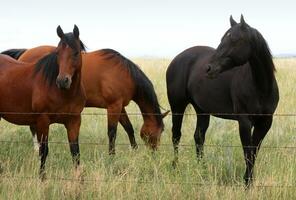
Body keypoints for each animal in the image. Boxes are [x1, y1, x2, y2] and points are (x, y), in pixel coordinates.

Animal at [0, 25, 85, 178]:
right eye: (57, 53)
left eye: (76, 53)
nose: (62, 81)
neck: (63, 94)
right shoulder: (43, 121)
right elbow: (43, 151)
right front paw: (42, 178)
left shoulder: (74, 121)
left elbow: (75, 152)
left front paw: (79, 179)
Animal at [1, 46, 169, 154]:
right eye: (159, 131)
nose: (154, 153)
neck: (124, 73)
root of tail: (25, 52)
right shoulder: (113, 106)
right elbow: (112, 132)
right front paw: (111, 155)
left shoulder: (120, 106)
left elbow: (129, 128)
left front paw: (134, 151)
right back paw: (37, 150)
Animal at [166, 14, 280, 185]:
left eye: (234, 40)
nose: (208, 69)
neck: (261, 87)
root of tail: (177, 58)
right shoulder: (244, 122)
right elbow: (247, 153)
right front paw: (247, 183)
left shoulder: (265, 122)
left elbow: (254, 152)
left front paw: (250, 181)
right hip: (177, 107)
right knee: (176, 135)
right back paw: (175, 167)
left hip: (202, 111)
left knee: (199, 137)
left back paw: (202, 170)